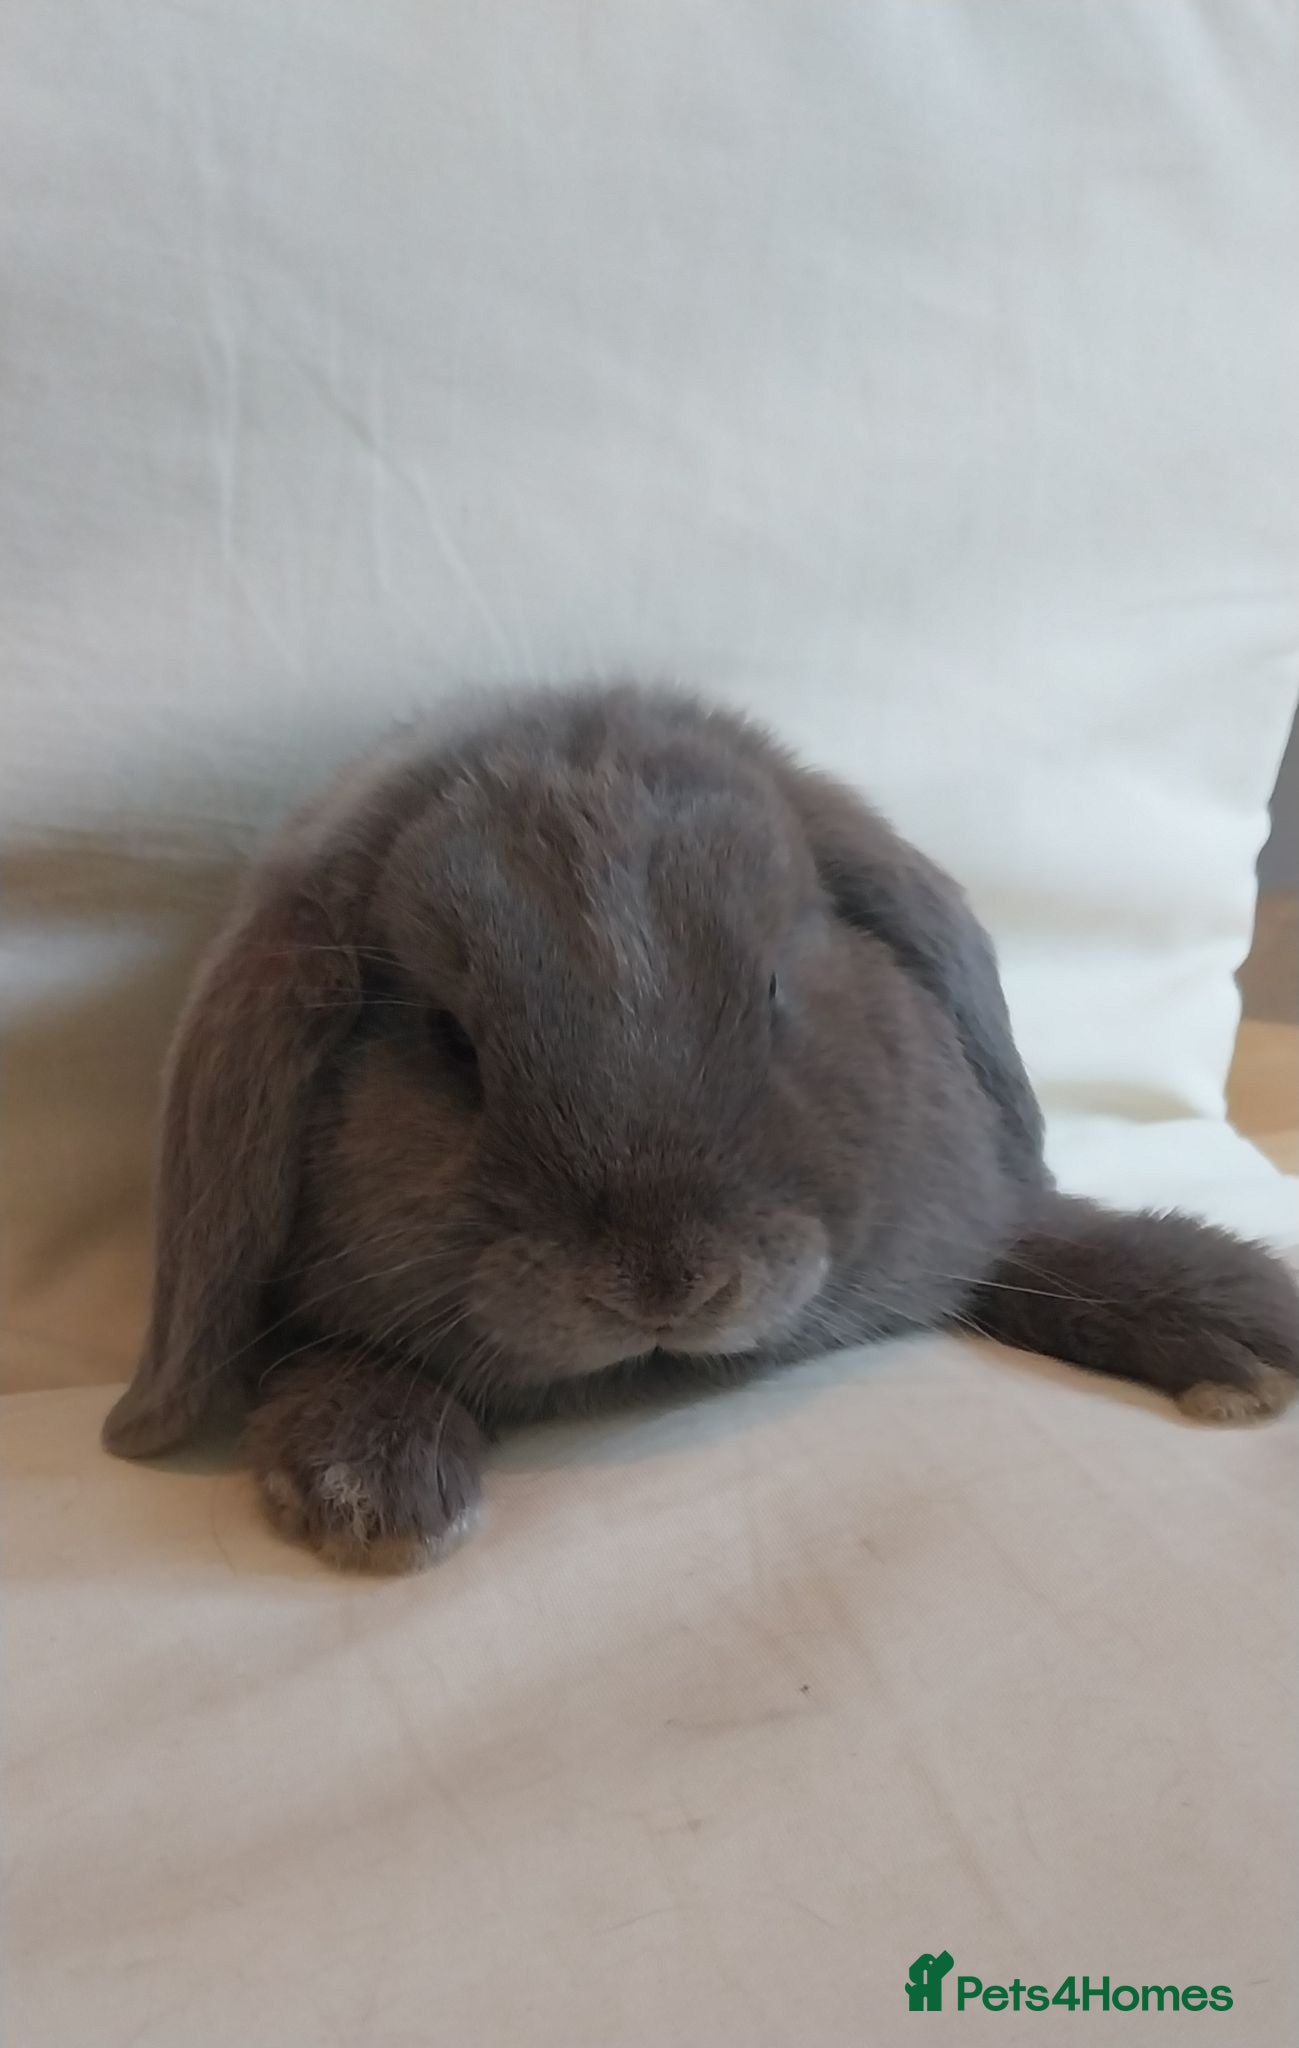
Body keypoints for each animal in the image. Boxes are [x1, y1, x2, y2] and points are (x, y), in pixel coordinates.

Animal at [103, 684, 1299, 1570]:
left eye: (772, 990)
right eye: (447, 1037)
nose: (664, 1280)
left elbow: (1032, 1246)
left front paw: (1243, 1321)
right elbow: (322, 1356)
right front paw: (375, 1484)